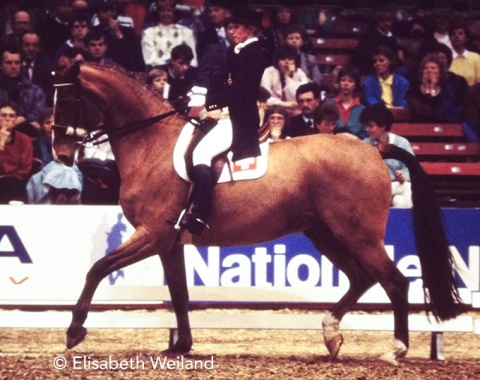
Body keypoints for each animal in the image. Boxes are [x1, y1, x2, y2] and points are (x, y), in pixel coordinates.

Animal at [53, 63, 464, 366]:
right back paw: (331, 334)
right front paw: (181, 346)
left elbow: (97, 269)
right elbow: (180, 294)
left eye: (70, 97)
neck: (150, 143)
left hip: (357, 234)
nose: (60, 153)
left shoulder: (152, 233)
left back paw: (395, 350)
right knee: (362, 278)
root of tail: (373, 150)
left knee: (395, 282)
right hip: (325, 233)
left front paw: (74, 331)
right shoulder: (168, 242)